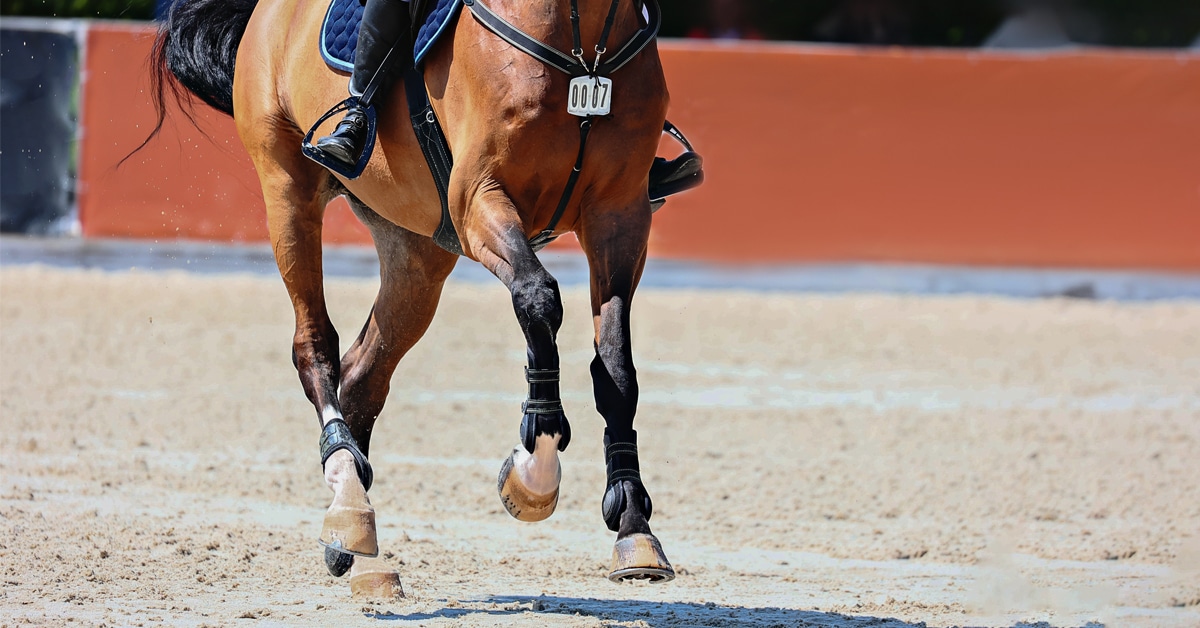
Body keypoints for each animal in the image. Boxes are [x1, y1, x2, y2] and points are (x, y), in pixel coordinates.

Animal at [150, 0, 678, 592]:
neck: (586, 48)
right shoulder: (480, 197)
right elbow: (538, 297)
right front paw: (534, 469)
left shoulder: (620, 214)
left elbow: (616, 368)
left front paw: (633, 525)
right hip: (287, 190)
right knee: (314, 346)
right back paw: (347, 496)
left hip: (417, 253)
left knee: (363, 372)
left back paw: (351, 532)